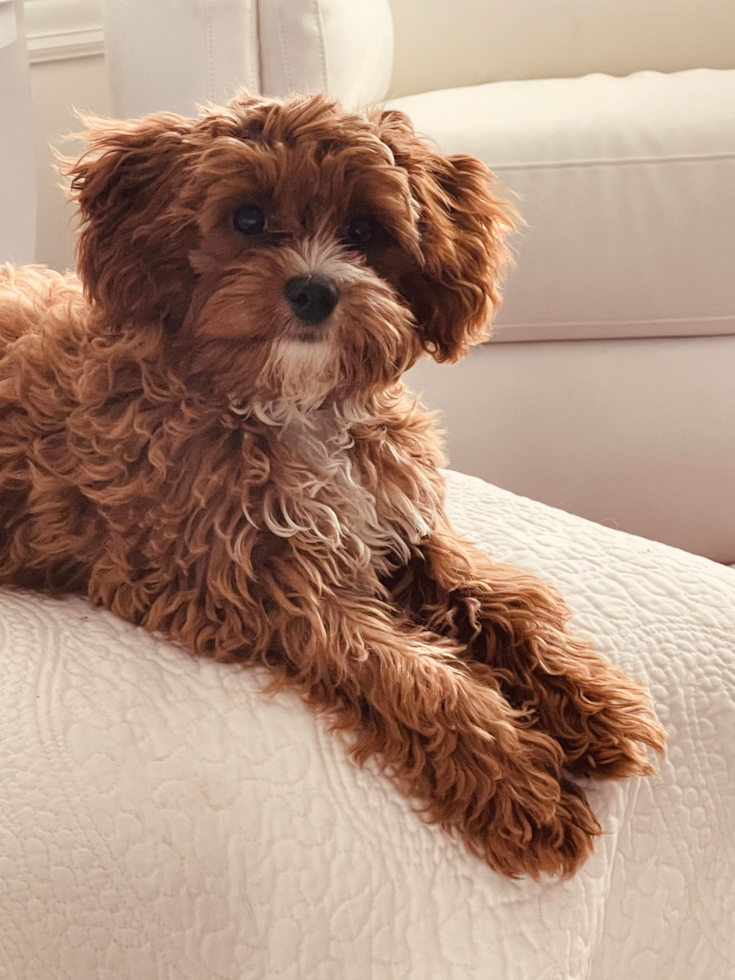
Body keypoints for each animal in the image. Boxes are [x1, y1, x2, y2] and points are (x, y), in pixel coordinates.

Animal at [0, 94, 668, 880]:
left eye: (364, 230)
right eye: (247, 218)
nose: (314, 289)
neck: (295, 408)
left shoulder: (399, 526)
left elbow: (496, 598)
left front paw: (587, 701)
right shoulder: (258, 589)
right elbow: (412, 674)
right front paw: (516, 783)